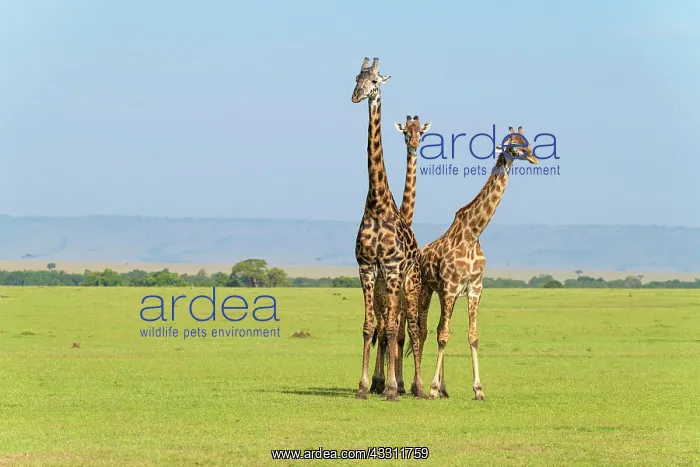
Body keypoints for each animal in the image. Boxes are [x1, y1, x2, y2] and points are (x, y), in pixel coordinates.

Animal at [416, 126, 539, 400]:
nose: (533, 157)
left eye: (526, 142)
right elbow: (443, 336)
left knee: (436, 328)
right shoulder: (451, 287)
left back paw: (444, 388)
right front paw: (432, 389)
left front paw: (478, 389)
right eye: (512, 145)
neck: (472, 235)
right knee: (423, 330)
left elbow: (472, 337)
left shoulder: (474, 289)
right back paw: (419, 386)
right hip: (425, 289)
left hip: (440, 293)